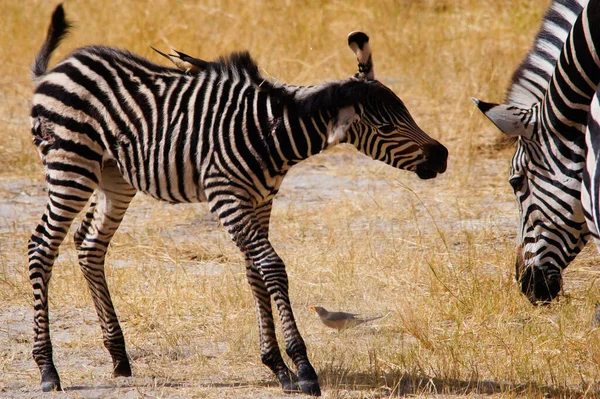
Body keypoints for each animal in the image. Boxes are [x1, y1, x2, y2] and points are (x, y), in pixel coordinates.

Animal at [29, 3, 450, 396]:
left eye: (406, 113)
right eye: (386, 126)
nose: (442, 156)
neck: (270, 134)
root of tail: (59, 67)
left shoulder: (260, 200)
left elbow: (254, 271)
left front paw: (277, 367)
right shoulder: (226, 195)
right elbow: (272, 266)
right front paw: (303, 368)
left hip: (114, 177)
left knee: (90, 245)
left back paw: (118, 356)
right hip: (70, 165)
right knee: (42, 246)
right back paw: (48, 370)